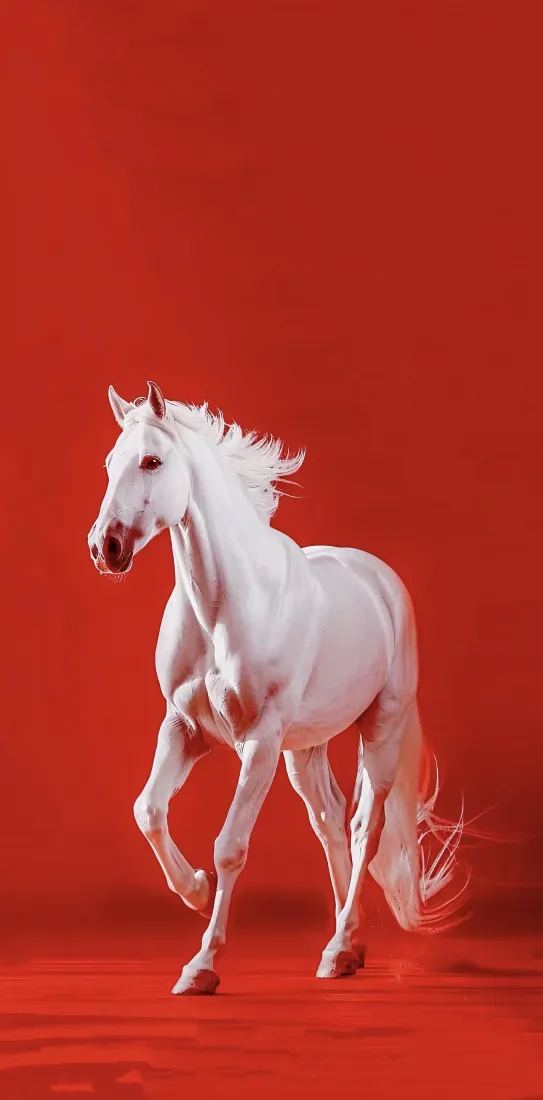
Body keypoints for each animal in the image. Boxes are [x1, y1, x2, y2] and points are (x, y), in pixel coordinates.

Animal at [88, 380, 464, 996]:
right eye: (109, 464)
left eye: (151, 461)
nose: (106, 547)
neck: (223, 606)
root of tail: (382, 580)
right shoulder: (184, 728)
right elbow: (149, 810)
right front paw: (194, 890)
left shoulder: (259, 742)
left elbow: (230, 847)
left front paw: (202, 964)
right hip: (304, 750)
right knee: (329, 821)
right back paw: (348, 944)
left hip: (380, 730)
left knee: (364, 827)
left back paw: (336, 950)